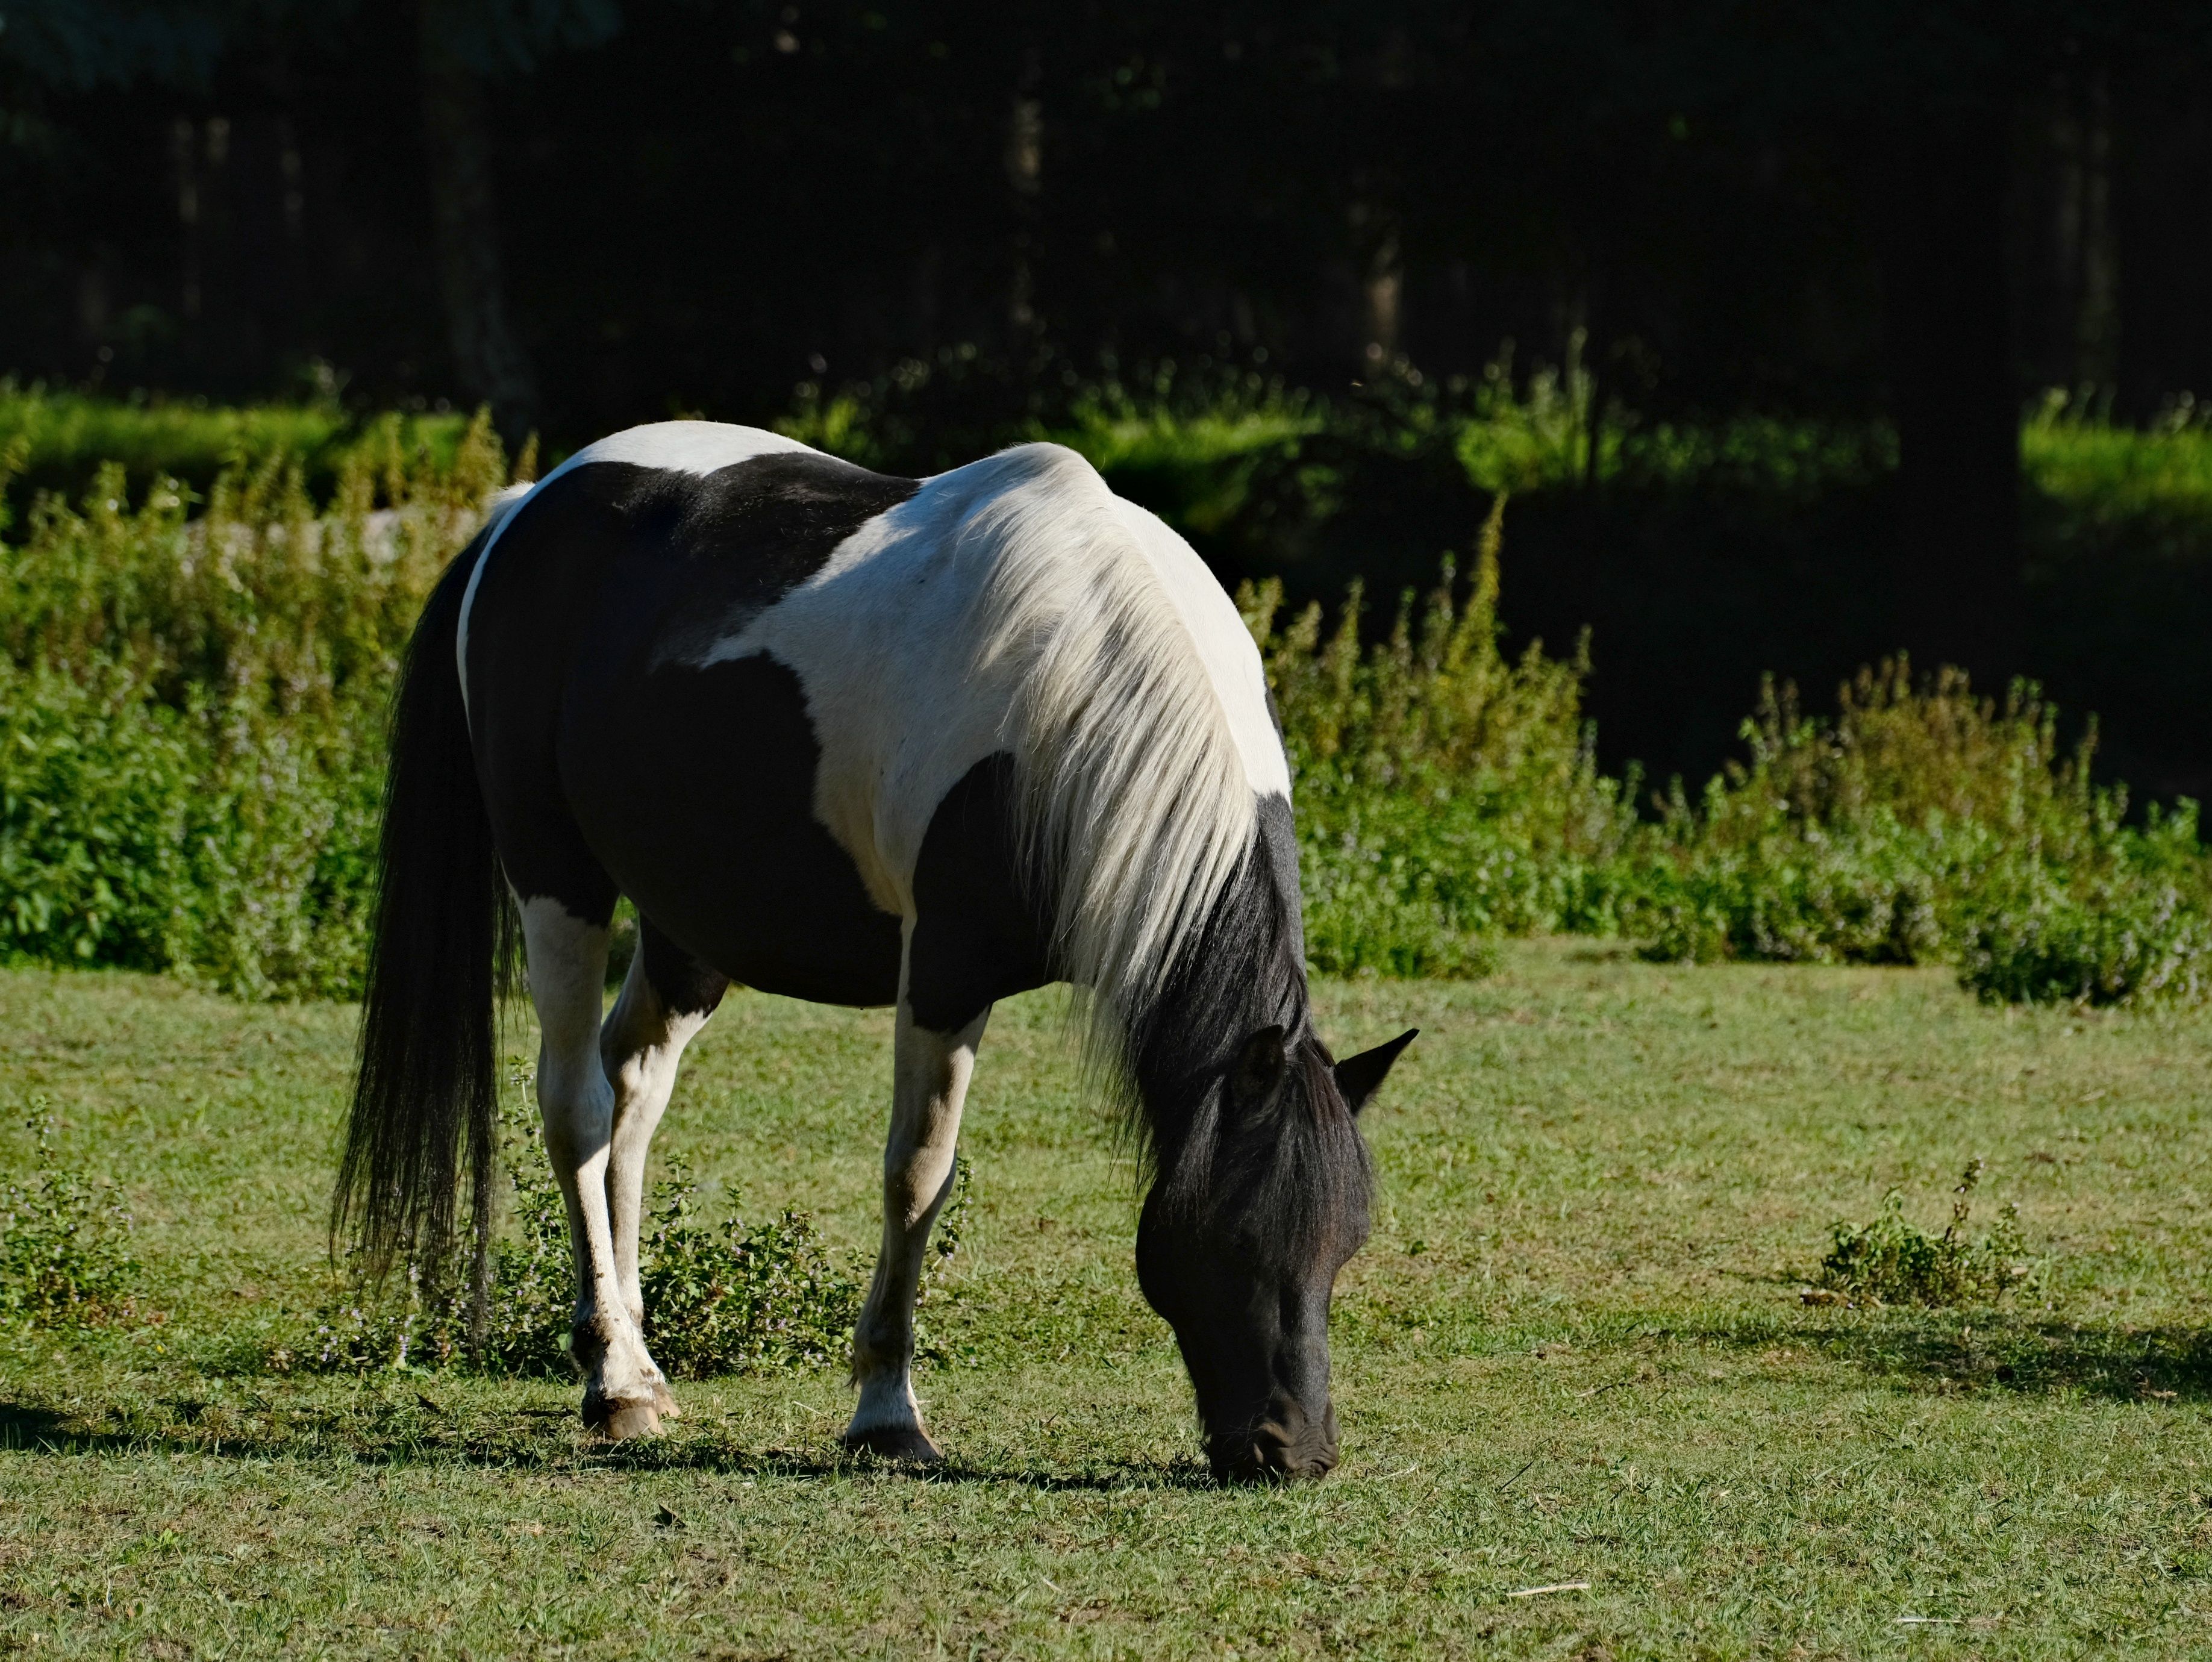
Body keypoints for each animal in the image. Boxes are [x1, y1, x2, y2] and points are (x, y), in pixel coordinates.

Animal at [335, 421, 1415, 1481]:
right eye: (1230, 1236)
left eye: (1346, 1242)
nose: (1293, 1449)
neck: (1077, 682)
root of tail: (526, 507)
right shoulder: (943, 973)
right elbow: (918, 1174)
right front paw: (887, 1411)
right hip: (557, 878)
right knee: (577, 1106)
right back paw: (615, 1380)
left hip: (689, 921)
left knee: (631, 1091)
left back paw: (637, 1355)